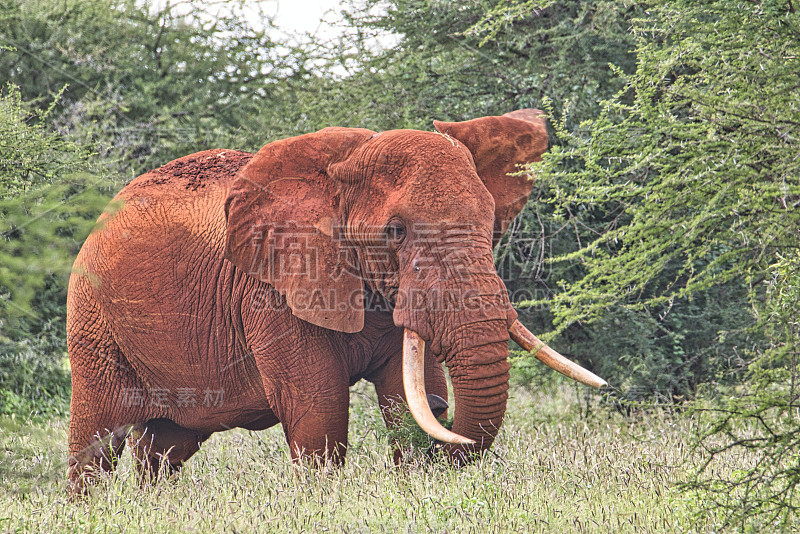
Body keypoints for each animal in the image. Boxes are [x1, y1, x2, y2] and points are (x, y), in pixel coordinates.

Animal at [67, 109, 608, 498]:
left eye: (491, 222)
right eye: (395, 231)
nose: (443, 411)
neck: (341, 166)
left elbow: (403, 390)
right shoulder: (274, 290)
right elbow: (318, 410)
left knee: (165, 448)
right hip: (93, 318)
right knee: (96, 441)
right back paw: (88, 509)